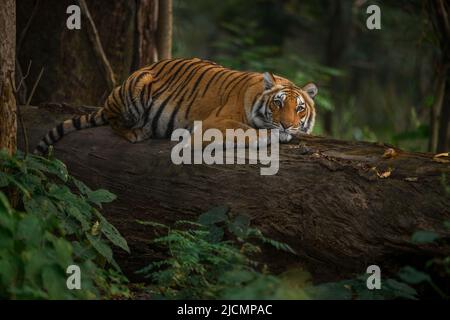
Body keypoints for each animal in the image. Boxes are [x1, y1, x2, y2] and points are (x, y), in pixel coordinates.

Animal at [34, 57, 316, 154]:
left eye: (299, 108)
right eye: (278, 104)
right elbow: (252, 132)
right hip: (136, 86)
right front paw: (276, 134)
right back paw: (137, 132)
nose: (287, 124)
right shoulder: (213, 125)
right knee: (114, 120)